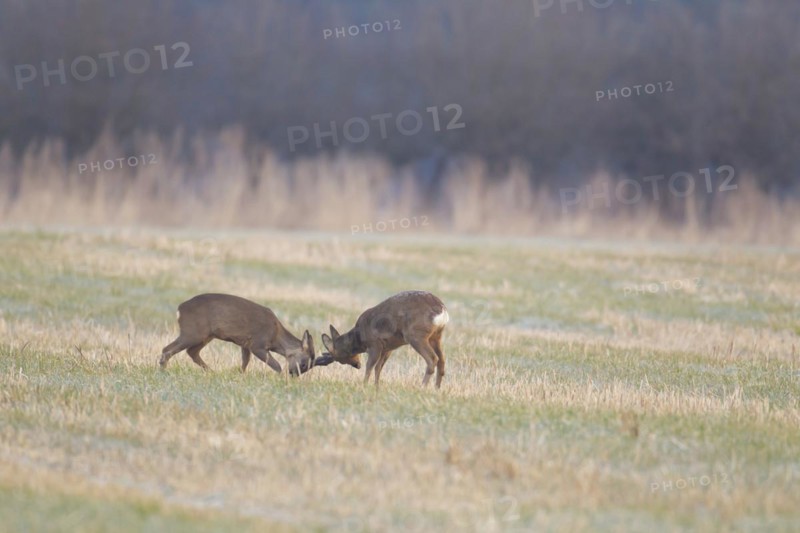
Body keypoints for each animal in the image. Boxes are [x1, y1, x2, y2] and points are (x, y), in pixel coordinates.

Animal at [158, 293, 316, 376]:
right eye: (303, 364)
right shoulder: (257, 344)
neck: (276, 336)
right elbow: (276, 364)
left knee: (191, 352)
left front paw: (240, 375)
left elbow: (245, 362)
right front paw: (280, 376)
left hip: (206, 335)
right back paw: (163, 370)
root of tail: (180, 309)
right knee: (168, 349)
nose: (293, 375)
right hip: (192, 332)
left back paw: (211, 372)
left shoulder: (245, 344)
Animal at [316, 291, 449, 388]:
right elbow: (378, 367)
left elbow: (370, 366)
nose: (357, 365)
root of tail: (442, 311)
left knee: (433, 359)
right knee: (442, 361)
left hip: (415, 334)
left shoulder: (375, 344)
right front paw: (376, 386)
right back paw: (436, 388)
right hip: (436, 336)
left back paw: (422, 387)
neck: (359, 338)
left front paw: (364, 385)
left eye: (338, 359)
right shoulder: (388, 348)